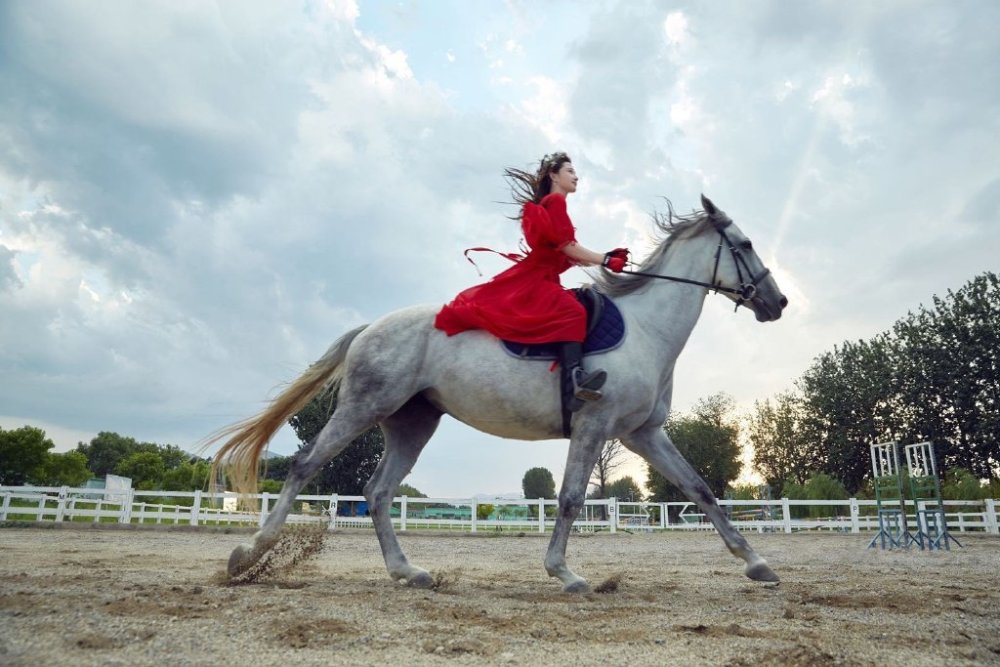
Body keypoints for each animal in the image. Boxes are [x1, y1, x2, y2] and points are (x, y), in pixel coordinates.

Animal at [211, 196, 788, 592]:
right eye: (746, 245)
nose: (778, 302)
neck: (647, 329)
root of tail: (372, 326)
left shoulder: (643, 433)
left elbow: (701, 489)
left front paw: (757, 563)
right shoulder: (595, 426)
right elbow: (571, 498)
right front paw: (564, 572)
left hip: (411, 422)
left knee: (377, 491)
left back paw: (407, 571)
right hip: (363, 408)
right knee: (307, 465)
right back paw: (249, 552)